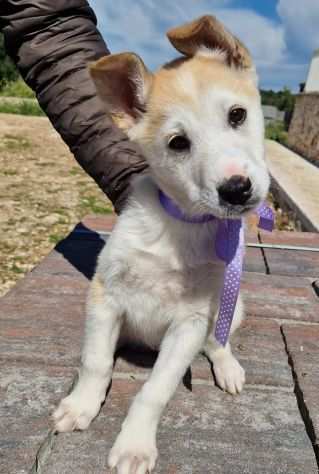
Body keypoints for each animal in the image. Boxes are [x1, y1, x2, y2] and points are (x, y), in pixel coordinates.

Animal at [53, 15, 272, 474]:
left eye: (237, 115)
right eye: (178, 143)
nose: (237, 189)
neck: (181, 226)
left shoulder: (189, 324)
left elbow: (154, 390)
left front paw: (134, 445)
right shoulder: (105, 296)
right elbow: (95, 362)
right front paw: (81, 406)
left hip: (232, 305)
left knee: (218, 341)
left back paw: (228, 367)